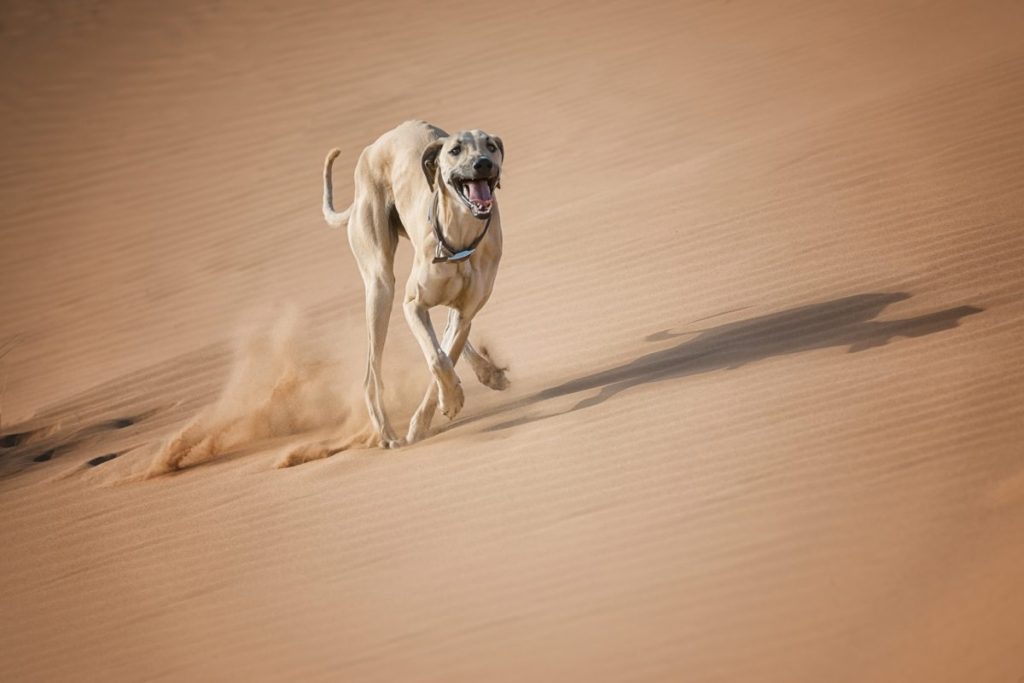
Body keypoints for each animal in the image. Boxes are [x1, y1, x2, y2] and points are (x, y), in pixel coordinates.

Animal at [323, 119, 507, 446]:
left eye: (491, 146)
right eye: (455, 150)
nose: (483, 163)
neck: (459, 239)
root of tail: (375, 146)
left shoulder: (465, 313)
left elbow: (446, 354)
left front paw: (434, 412)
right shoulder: (413, 305)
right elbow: (436, 358)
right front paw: (450, 402)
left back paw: (489, 373)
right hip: (380, 286)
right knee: (371, 374)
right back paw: (385, 432)